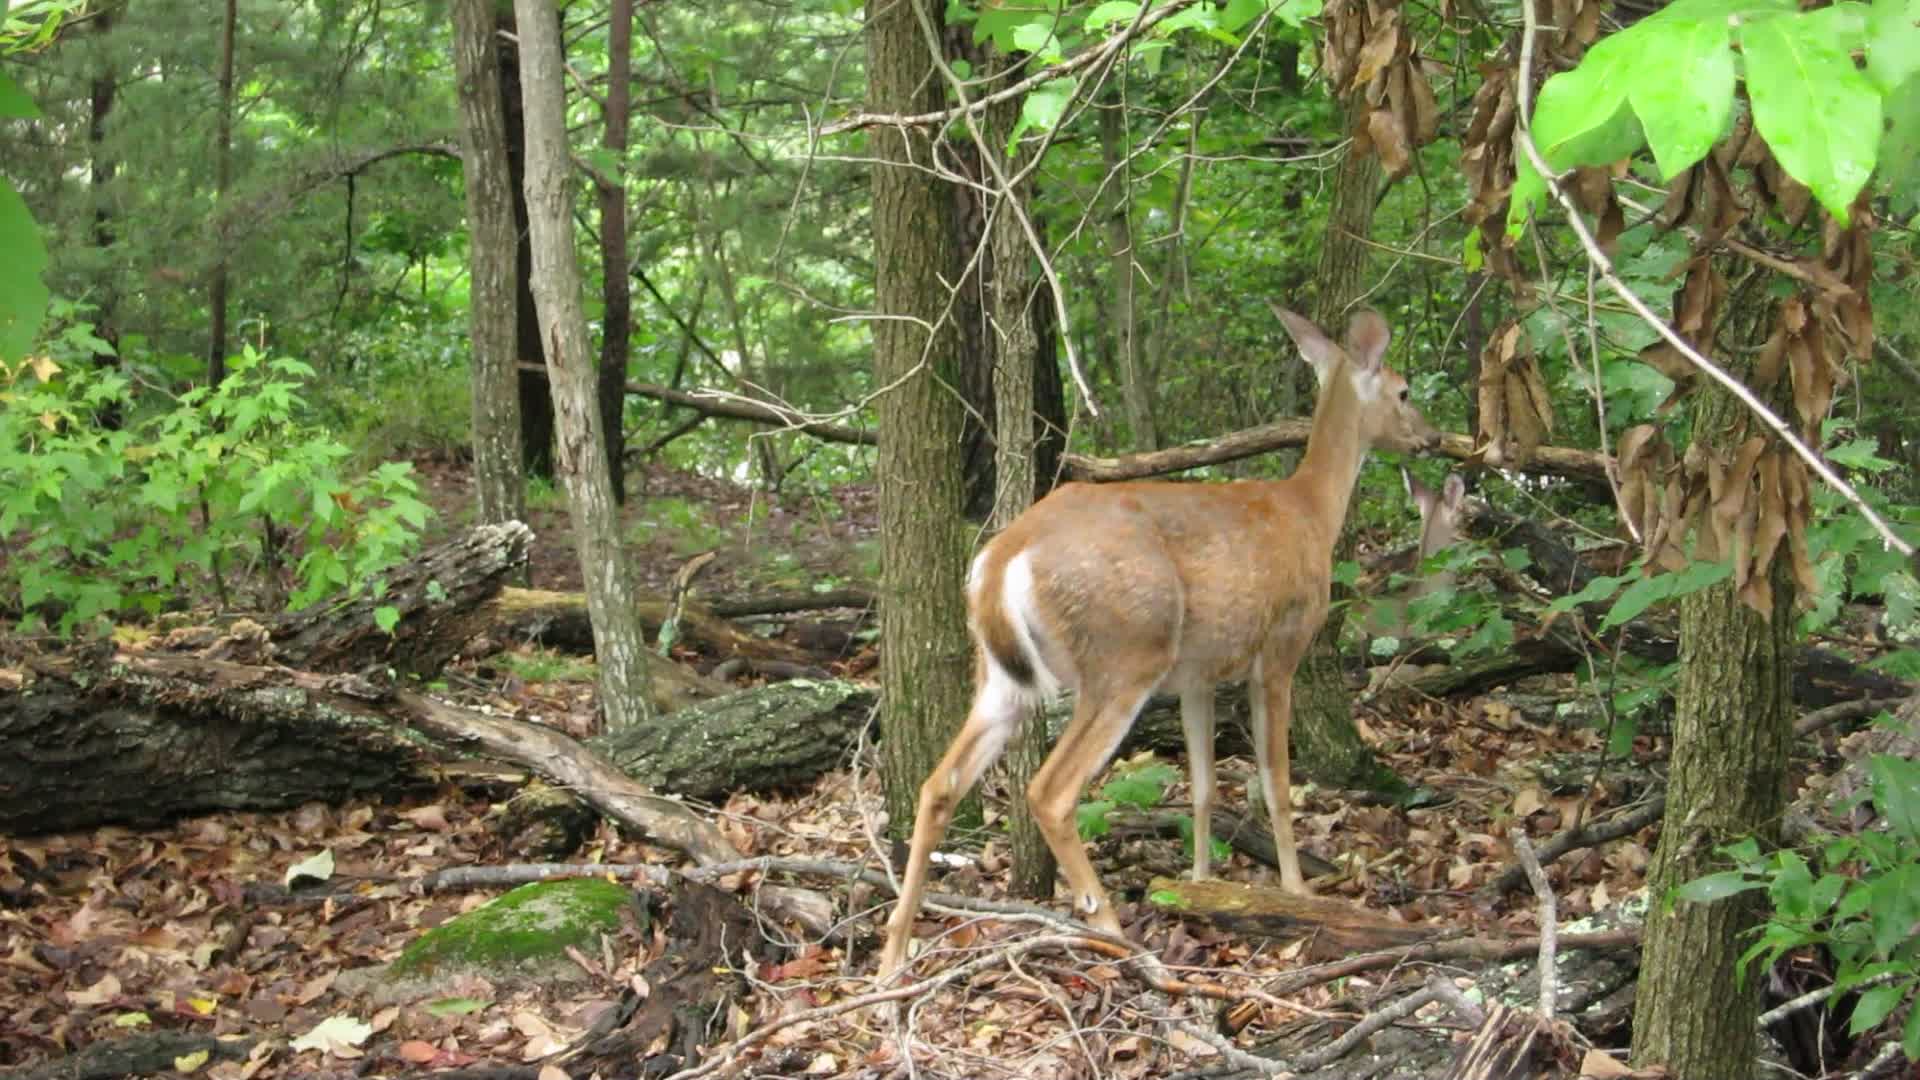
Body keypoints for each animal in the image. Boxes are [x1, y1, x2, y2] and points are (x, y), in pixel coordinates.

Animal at [876, 304, 1440, 982]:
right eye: (1404, 390)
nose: (1434, 439)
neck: (1309, 511)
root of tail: (1004, 555)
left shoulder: (1198, 675)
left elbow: (1202, 788)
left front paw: (1198, 883)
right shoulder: (1279, 649)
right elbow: (1275, 781)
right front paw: (1297, 891)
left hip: (1003, 675)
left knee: (938, 785)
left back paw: (892, 957)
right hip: (1125, 653)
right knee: (1050, 790)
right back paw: (1116, 934)